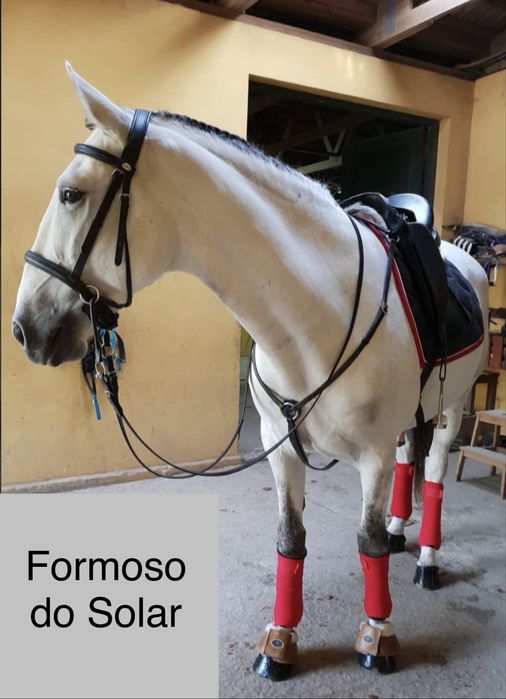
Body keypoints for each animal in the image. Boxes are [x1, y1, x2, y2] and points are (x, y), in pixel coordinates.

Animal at [12, 64, 489, 680]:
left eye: (71, 193)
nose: (24, 328)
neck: (319, 313)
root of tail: (465, 255)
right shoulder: (278, 443)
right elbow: (290, 539)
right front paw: (280, 642)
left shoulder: (373, 453)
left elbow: (365, 542)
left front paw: (377, 635)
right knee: (412, 464)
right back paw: (401, 532)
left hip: (452, 408)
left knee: (431, 474)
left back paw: (427, 557)